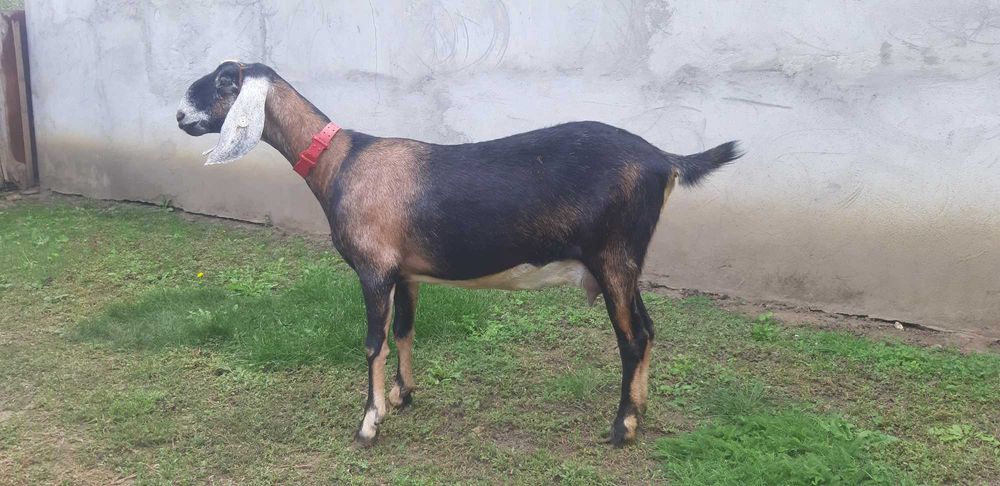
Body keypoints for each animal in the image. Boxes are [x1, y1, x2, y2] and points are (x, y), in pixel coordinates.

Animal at [177, 61, 742, 447]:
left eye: (222, 81)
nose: (181, 116)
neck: (343, 163)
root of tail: (665, 159)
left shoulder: (374, 269)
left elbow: (372, 343)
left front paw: (369, 423)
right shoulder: (405, 272)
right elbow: (405, 332)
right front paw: (403, 396)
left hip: (614, 256)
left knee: (633, 337)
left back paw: (622, 427)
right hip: (625, 262)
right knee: (648, 329)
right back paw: (639, 414)